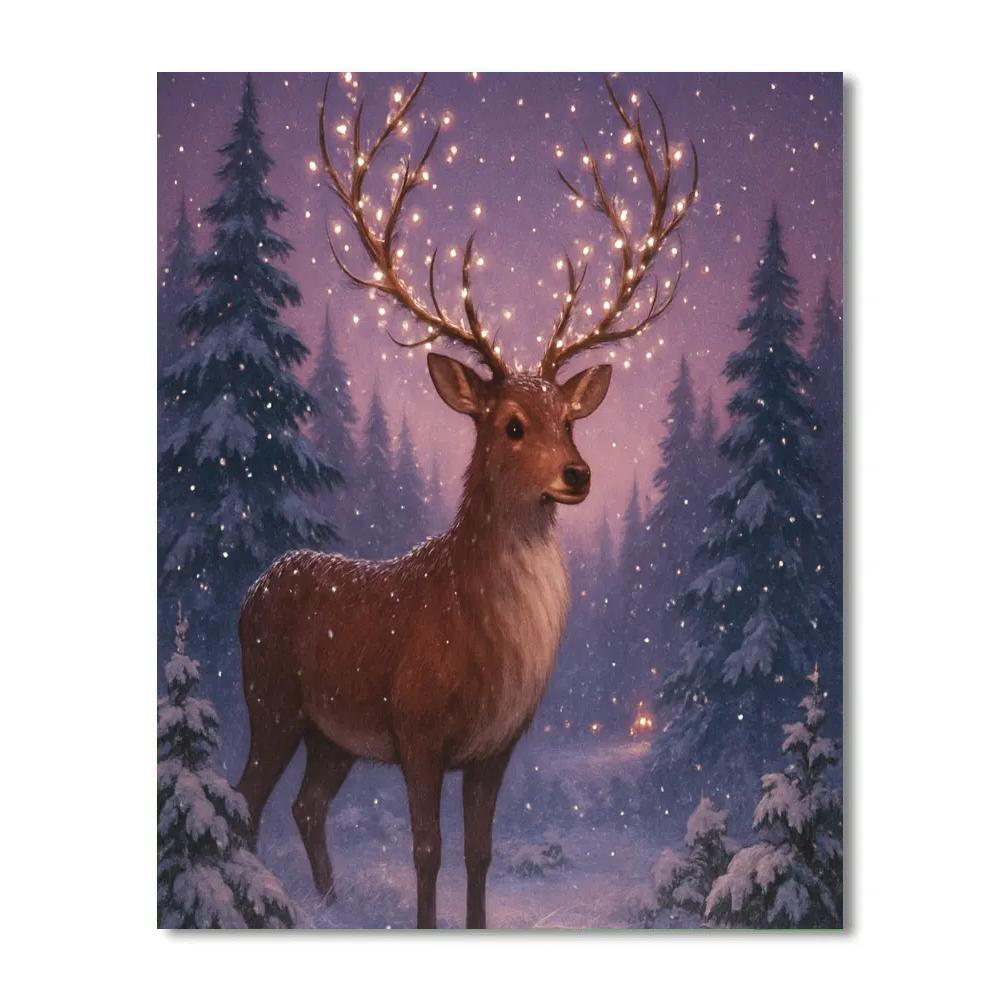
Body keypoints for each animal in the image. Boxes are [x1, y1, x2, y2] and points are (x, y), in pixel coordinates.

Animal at [235, 73, 697, 929]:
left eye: (571, 418)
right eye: (511, 424)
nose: (579, 474)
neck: (484, 639)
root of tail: (252, 588)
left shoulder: (496, 747)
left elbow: (480, 852)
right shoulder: (417, 729)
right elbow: (428, 851)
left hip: (332, 735)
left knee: (306, 805)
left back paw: (327, 900)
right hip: (271, 697)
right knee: (247, 794)